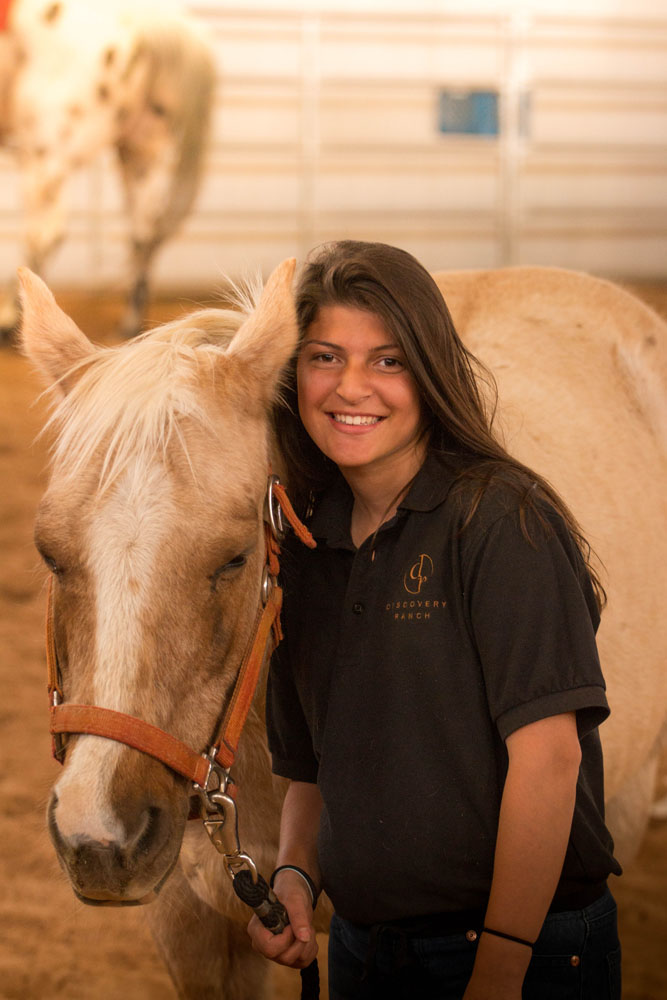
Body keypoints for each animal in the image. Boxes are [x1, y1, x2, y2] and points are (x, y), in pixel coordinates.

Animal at [0, 0, 214, 340]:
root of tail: (142, 17)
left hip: (44, 152)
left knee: (43, 234)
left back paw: (9, 319)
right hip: (142, 152)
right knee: (142, 236)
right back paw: (130, 325)